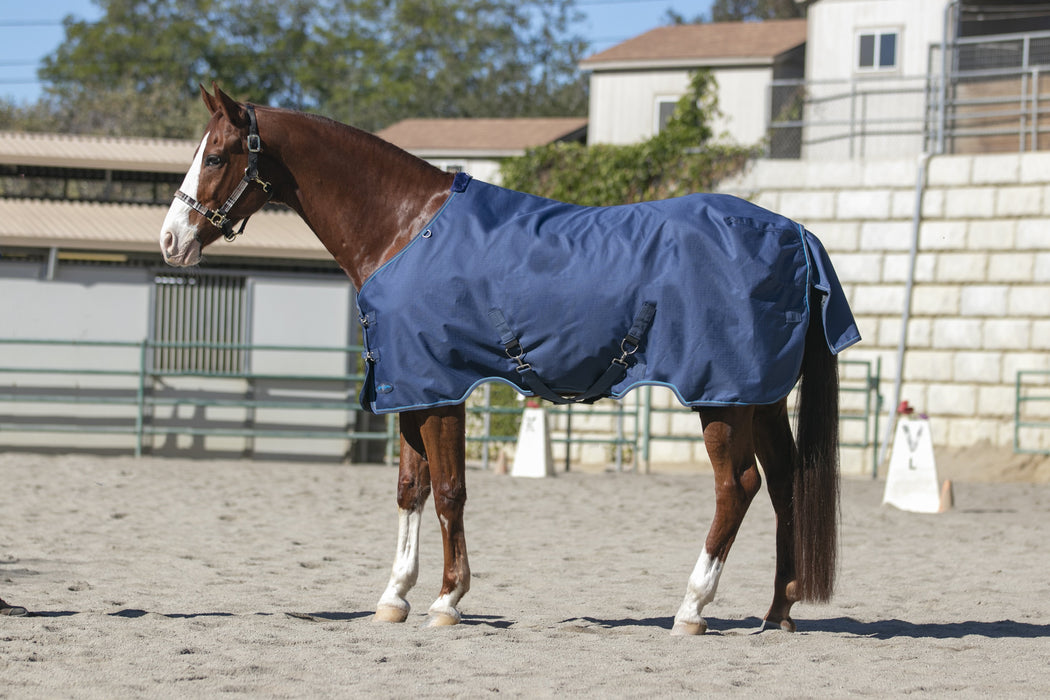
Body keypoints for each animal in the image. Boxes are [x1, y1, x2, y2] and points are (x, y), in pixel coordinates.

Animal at [160, 84, 859, 635]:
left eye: (216, 156)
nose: (170, 240)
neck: (404, 229)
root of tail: (794, 231)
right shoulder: (411, 389)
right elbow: (410, 491)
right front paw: (394, 598)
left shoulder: (442, 389)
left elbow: (449, 491)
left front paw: (448, 600)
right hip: (760, 396)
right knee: (785, 487)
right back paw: (777, 613)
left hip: (722, 399)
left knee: (736, 488)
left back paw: (692, 609)